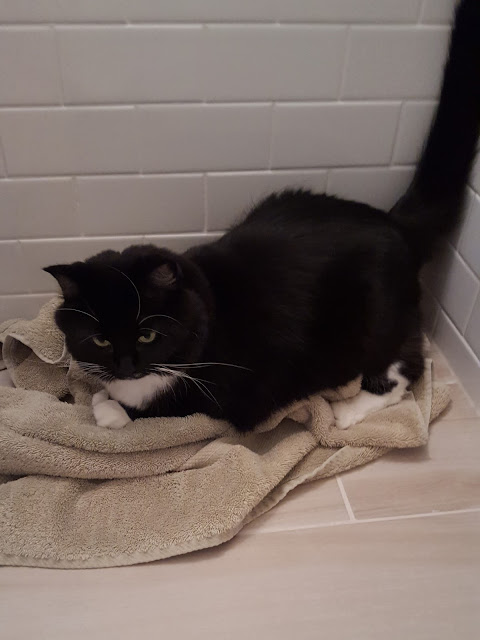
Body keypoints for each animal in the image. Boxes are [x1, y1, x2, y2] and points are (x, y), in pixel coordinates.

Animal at [45, 0, 480, 431]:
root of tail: (394, 223)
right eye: (100, 340)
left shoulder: (236, 389)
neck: (205, 305)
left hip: (374, 317)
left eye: (147, 336)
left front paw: (111, 406)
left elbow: (176, 406)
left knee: (408, 363)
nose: (125, 367)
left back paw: (351, 409)